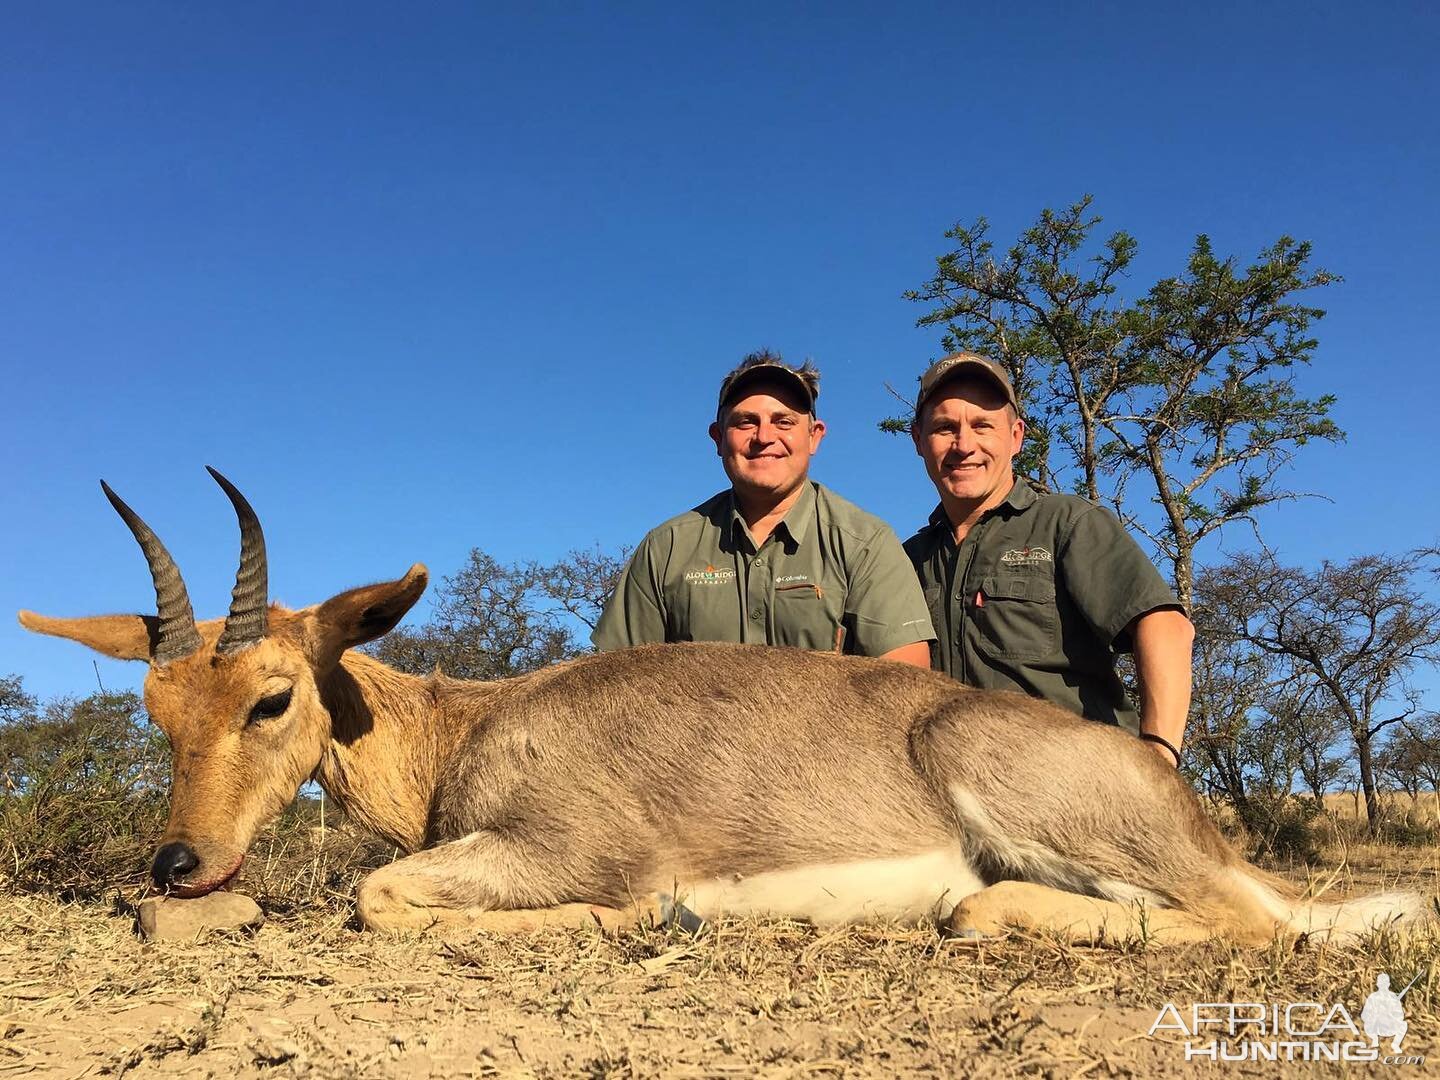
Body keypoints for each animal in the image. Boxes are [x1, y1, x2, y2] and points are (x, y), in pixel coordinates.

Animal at [16, 472, 1434, 944]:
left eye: (270, 696)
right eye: (155, 709)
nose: (180, 862)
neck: (471, 724)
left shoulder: (571, 849)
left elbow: (381, 894)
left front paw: (651, 915)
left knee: (1254, 927)